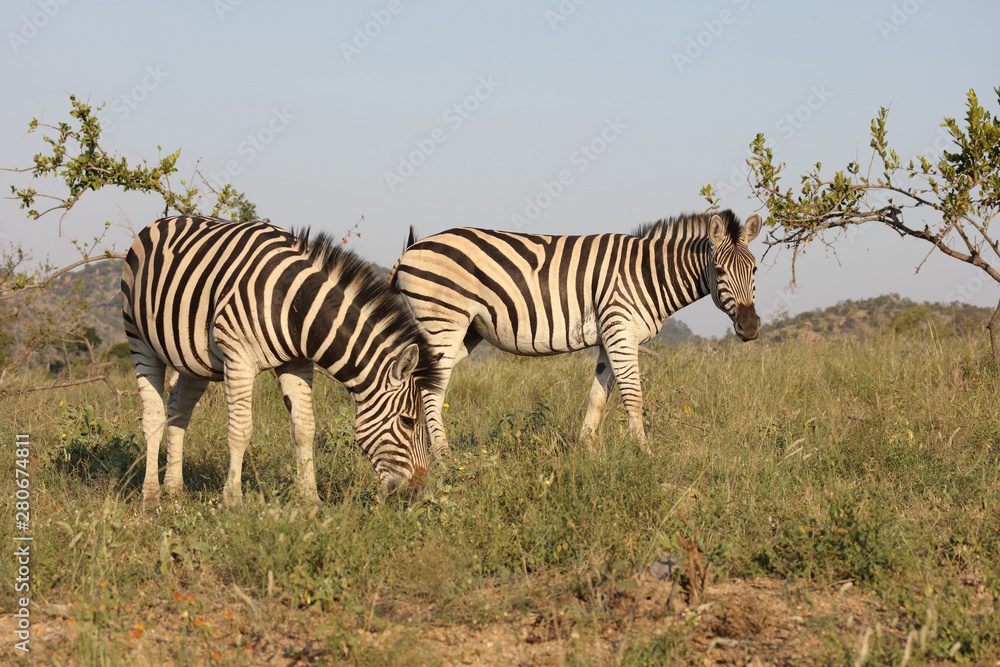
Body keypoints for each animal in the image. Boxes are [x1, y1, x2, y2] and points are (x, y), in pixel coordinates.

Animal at [121, 215, 441, 508]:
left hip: (194, 361)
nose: (417, 494)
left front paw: (310, 500)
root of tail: (162, 221)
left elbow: (305, 428)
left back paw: (174, 490)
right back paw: (151, 498)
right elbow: (240, 430)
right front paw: (233, 501)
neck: (294, 307)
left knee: (178, 413)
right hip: (140, 340)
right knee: (153, 417)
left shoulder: (296, 363)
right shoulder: (239, 358)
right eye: (408, 421)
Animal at [389, 209, 762, 457]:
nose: (751, 326)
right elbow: (634, 398)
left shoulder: (609, 337)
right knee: (428, 389)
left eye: (755, 270)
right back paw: (443, 457)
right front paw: (645, 454)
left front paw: (587, 450)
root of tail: (411, 248)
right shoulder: (621, 331)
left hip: (464, 332)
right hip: (442, 322)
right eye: (719, 271)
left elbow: (598, 396)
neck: (646, 274)